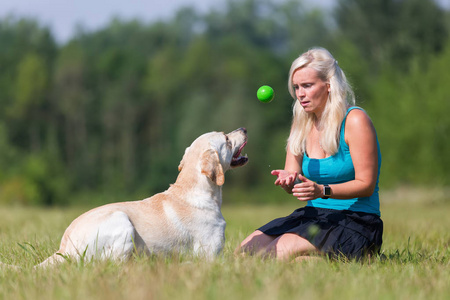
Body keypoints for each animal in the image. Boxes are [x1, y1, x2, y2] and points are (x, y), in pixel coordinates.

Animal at [33, 127, 248, 266]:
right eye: (226, 139)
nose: (244, 128)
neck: (196, 190)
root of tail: (64, 248)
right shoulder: (210, 255)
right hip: (122, 221)